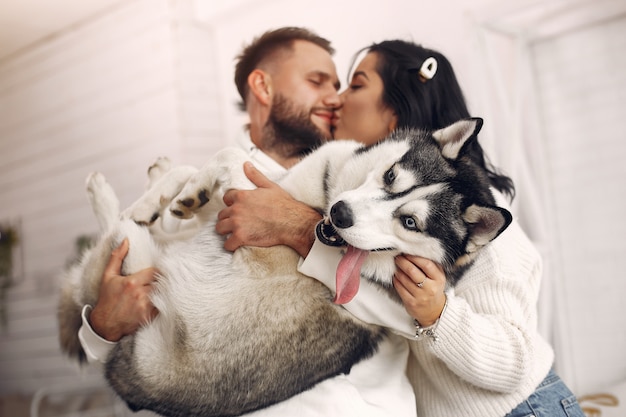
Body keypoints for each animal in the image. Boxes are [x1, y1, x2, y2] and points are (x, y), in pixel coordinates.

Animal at [57, 117, 508, 416]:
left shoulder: (247, 208)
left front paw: (174, 191)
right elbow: (204, 169)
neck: (320, 195)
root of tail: (128, 381)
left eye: (410, 222)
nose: (340, 213)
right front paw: (170, 192)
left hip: (132, 262)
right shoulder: (258, 191)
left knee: (116, 233)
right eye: (392, 175)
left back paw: (102, 194)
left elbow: (228, 156)